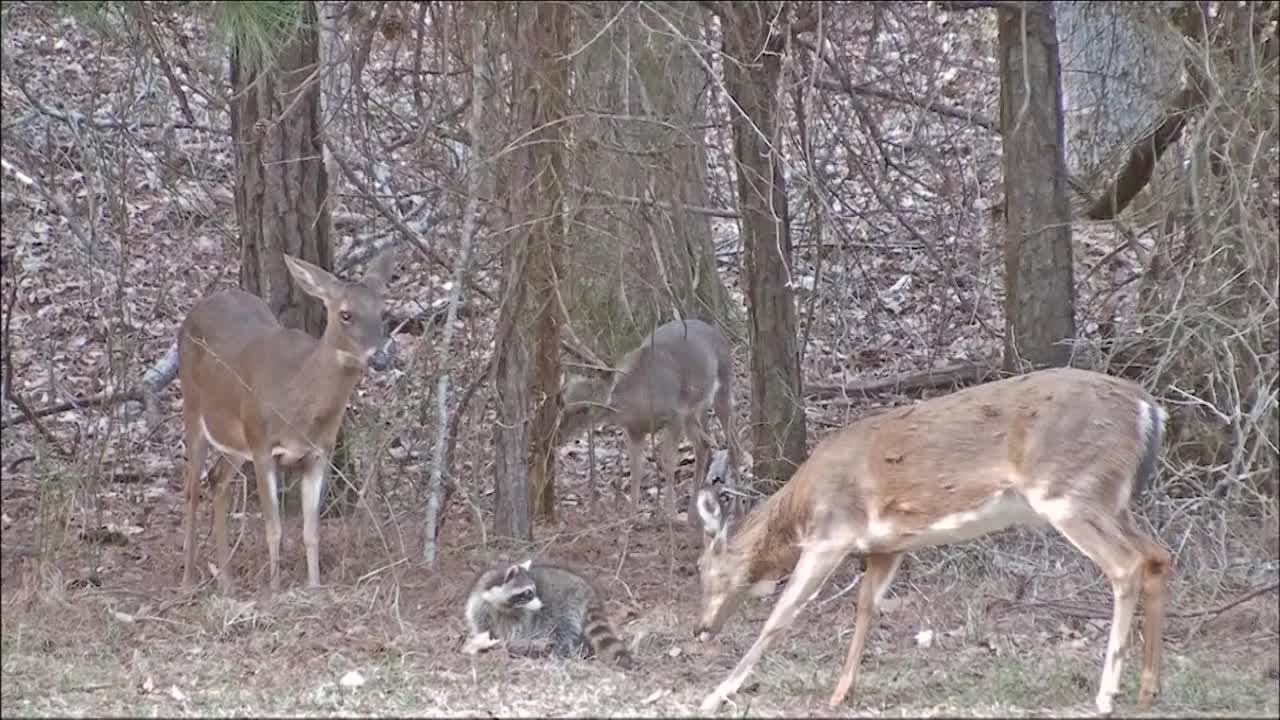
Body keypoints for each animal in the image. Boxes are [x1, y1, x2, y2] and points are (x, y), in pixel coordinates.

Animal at [175, 249, 394, 591]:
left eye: (383, 311)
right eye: (345, 314)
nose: (381, 358)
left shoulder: (319, 453)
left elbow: (311, 531)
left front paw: (314, 586)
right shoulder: (262, 445)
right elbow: (274, 527)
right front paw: (275, 588)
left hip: (236, 440)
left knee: (217, 480)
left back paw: (226, 582)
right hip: (194, 408)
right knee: (191, 488)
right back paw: (187, 580)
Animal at [465, 556, 634, 666]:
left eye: (534, 591)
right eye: (527, 593)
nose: (541, 605)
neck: (504, 605)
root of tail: (586, 587)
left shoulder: (522, 616)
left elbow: (519, 630)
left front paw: (511, 645)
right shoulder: (481, 605)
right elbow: (484, 628)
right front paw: (488, 643)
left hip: (563, 606)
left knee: (561, 630)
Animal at [555, 316, 747, 517]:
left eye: (585, 408)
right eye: (563, 402)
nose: (558, 435)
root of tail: (717, 332)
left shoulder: (674, 415)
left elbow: (668, 462)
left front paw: (671, 513)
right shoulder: (634, 430)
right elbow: (635, 468)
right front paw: (632, 514)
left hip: (723, 386)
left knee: (734, 446)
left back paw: (738, 508)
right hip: (693, 410)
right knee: (704, 444)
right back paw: (695, 508)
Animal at [691, 366, 1172, 712]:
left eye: (704, 569)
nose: (700, 628)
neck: (801, 510)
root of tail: (1148, 409)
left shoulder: (832, 532)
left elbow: (780, 617)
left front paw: (715, 696)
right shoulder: (888, 546)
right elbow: (865, 608)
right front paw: (841, 692)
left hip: (1068, 491)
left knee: (1126, 565)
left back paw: (1107, 695)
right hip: (1110, 500)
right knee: (1158, 556)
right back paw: (1148, 690)